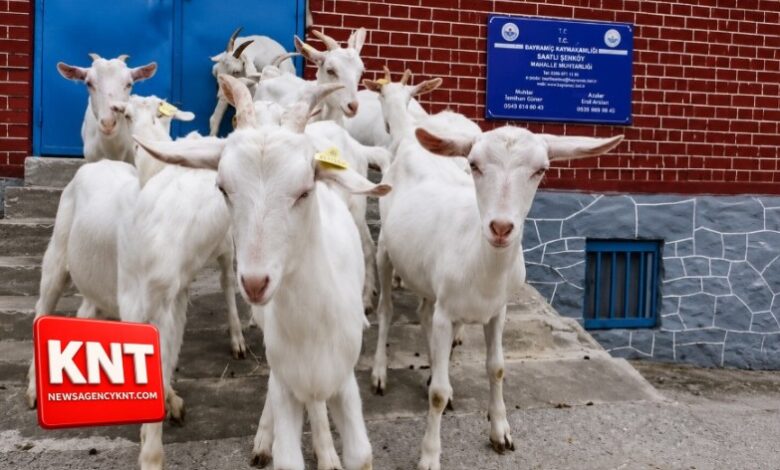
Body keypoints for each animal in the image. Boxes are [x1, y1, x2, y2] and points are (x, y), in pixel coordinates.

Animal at [135, 74, 388, 470]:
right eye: (222, 187)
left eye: (305, 190)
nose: (255, 282)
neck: (313, 325)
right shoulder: (288, 377)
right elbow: (290, 447)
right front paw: (300, 447)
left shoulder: (343, 378)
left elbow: (360, 454)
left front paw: (330, 454)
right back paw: (268, 440)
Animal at [363, 72, 623, 470]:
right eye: (473, 164)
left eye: (541, 170)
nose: (501, 228)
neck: (480, 263)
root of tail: (408, 141)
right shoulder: (447, 312)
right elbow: (437, 394)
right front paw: (430, 455)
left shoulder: (497, 311)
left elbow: (496, 367)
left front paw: (500, 431)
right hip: (386, 252)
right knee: (387, 310)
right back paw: (379, 372)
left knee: (422, 311)